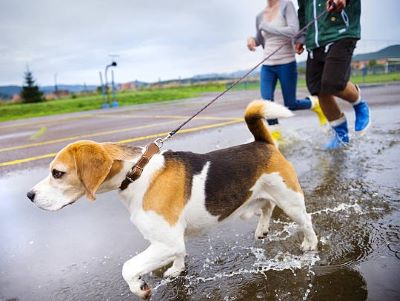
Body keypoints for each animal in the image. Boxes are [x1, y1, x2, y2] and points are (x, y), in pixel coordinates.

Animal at [26, 100, 318, 298]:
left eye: (57, 173)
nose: (29, 196)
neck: (136, 174)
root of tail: (262, 143)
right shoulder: (171, 240)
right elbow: (180, 253)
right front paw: (176, 270)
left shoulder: (165, 241)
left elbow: (128, 267)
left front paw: (140, 287)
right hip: (259, 197)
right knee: (267, 206)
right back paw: (262, 229)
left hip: (290, 200)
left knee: (305, 220)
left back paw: (310, 244)